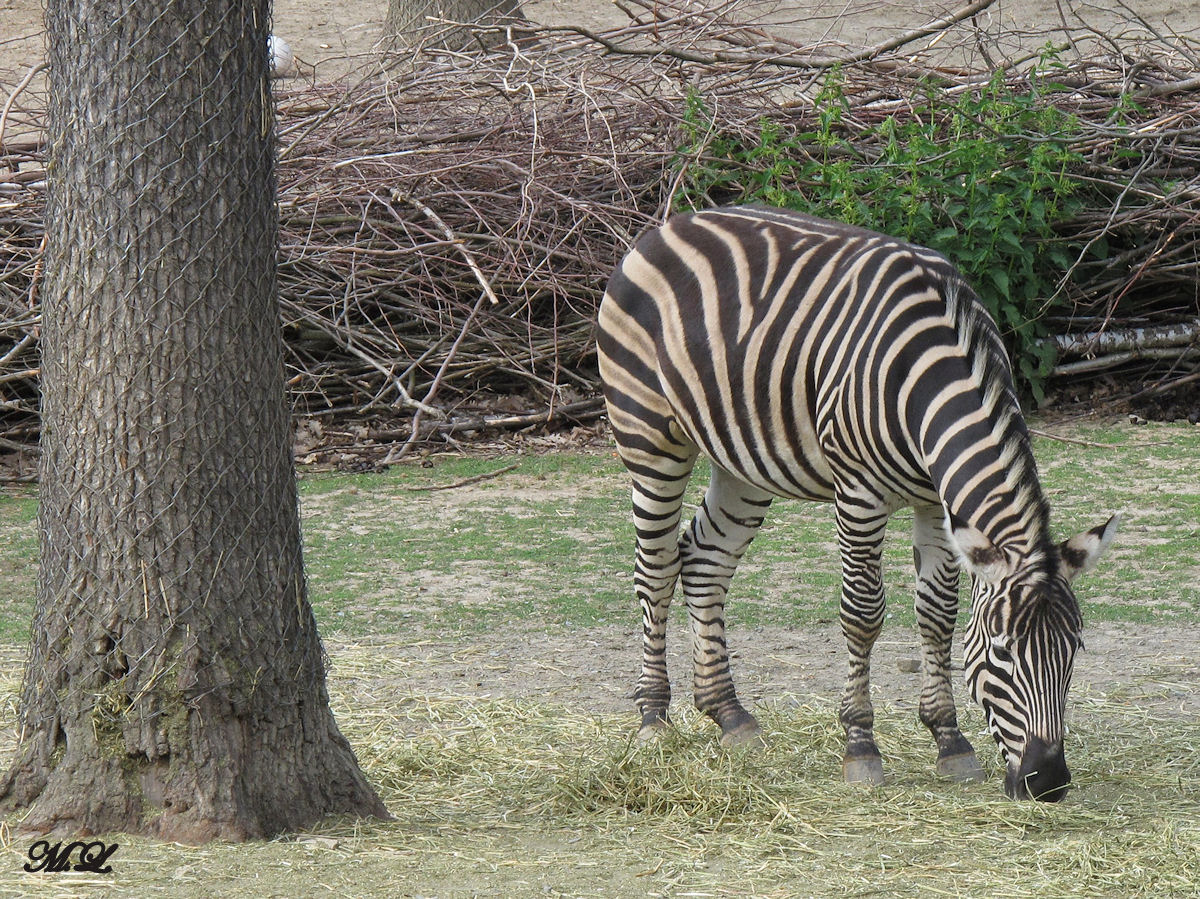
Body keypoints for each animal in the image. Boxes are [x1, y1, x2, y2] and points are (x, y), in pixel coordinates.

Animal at [595, 208, 1118, 801]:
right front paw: (861, 745)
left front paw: (949, 740)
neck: (933, 373)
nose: (1047, 781)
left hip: (741, 458)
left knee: (705, 561)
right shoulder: (859, 494)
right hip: (648, 434)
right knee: (656, 568)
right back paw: (654, 719)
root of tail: (668, 225)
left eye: (1075, 649)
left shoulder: (934, 502)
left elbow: (937, 613)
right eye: (1003, 653)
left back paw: (730, 715)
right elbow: (863, 614)